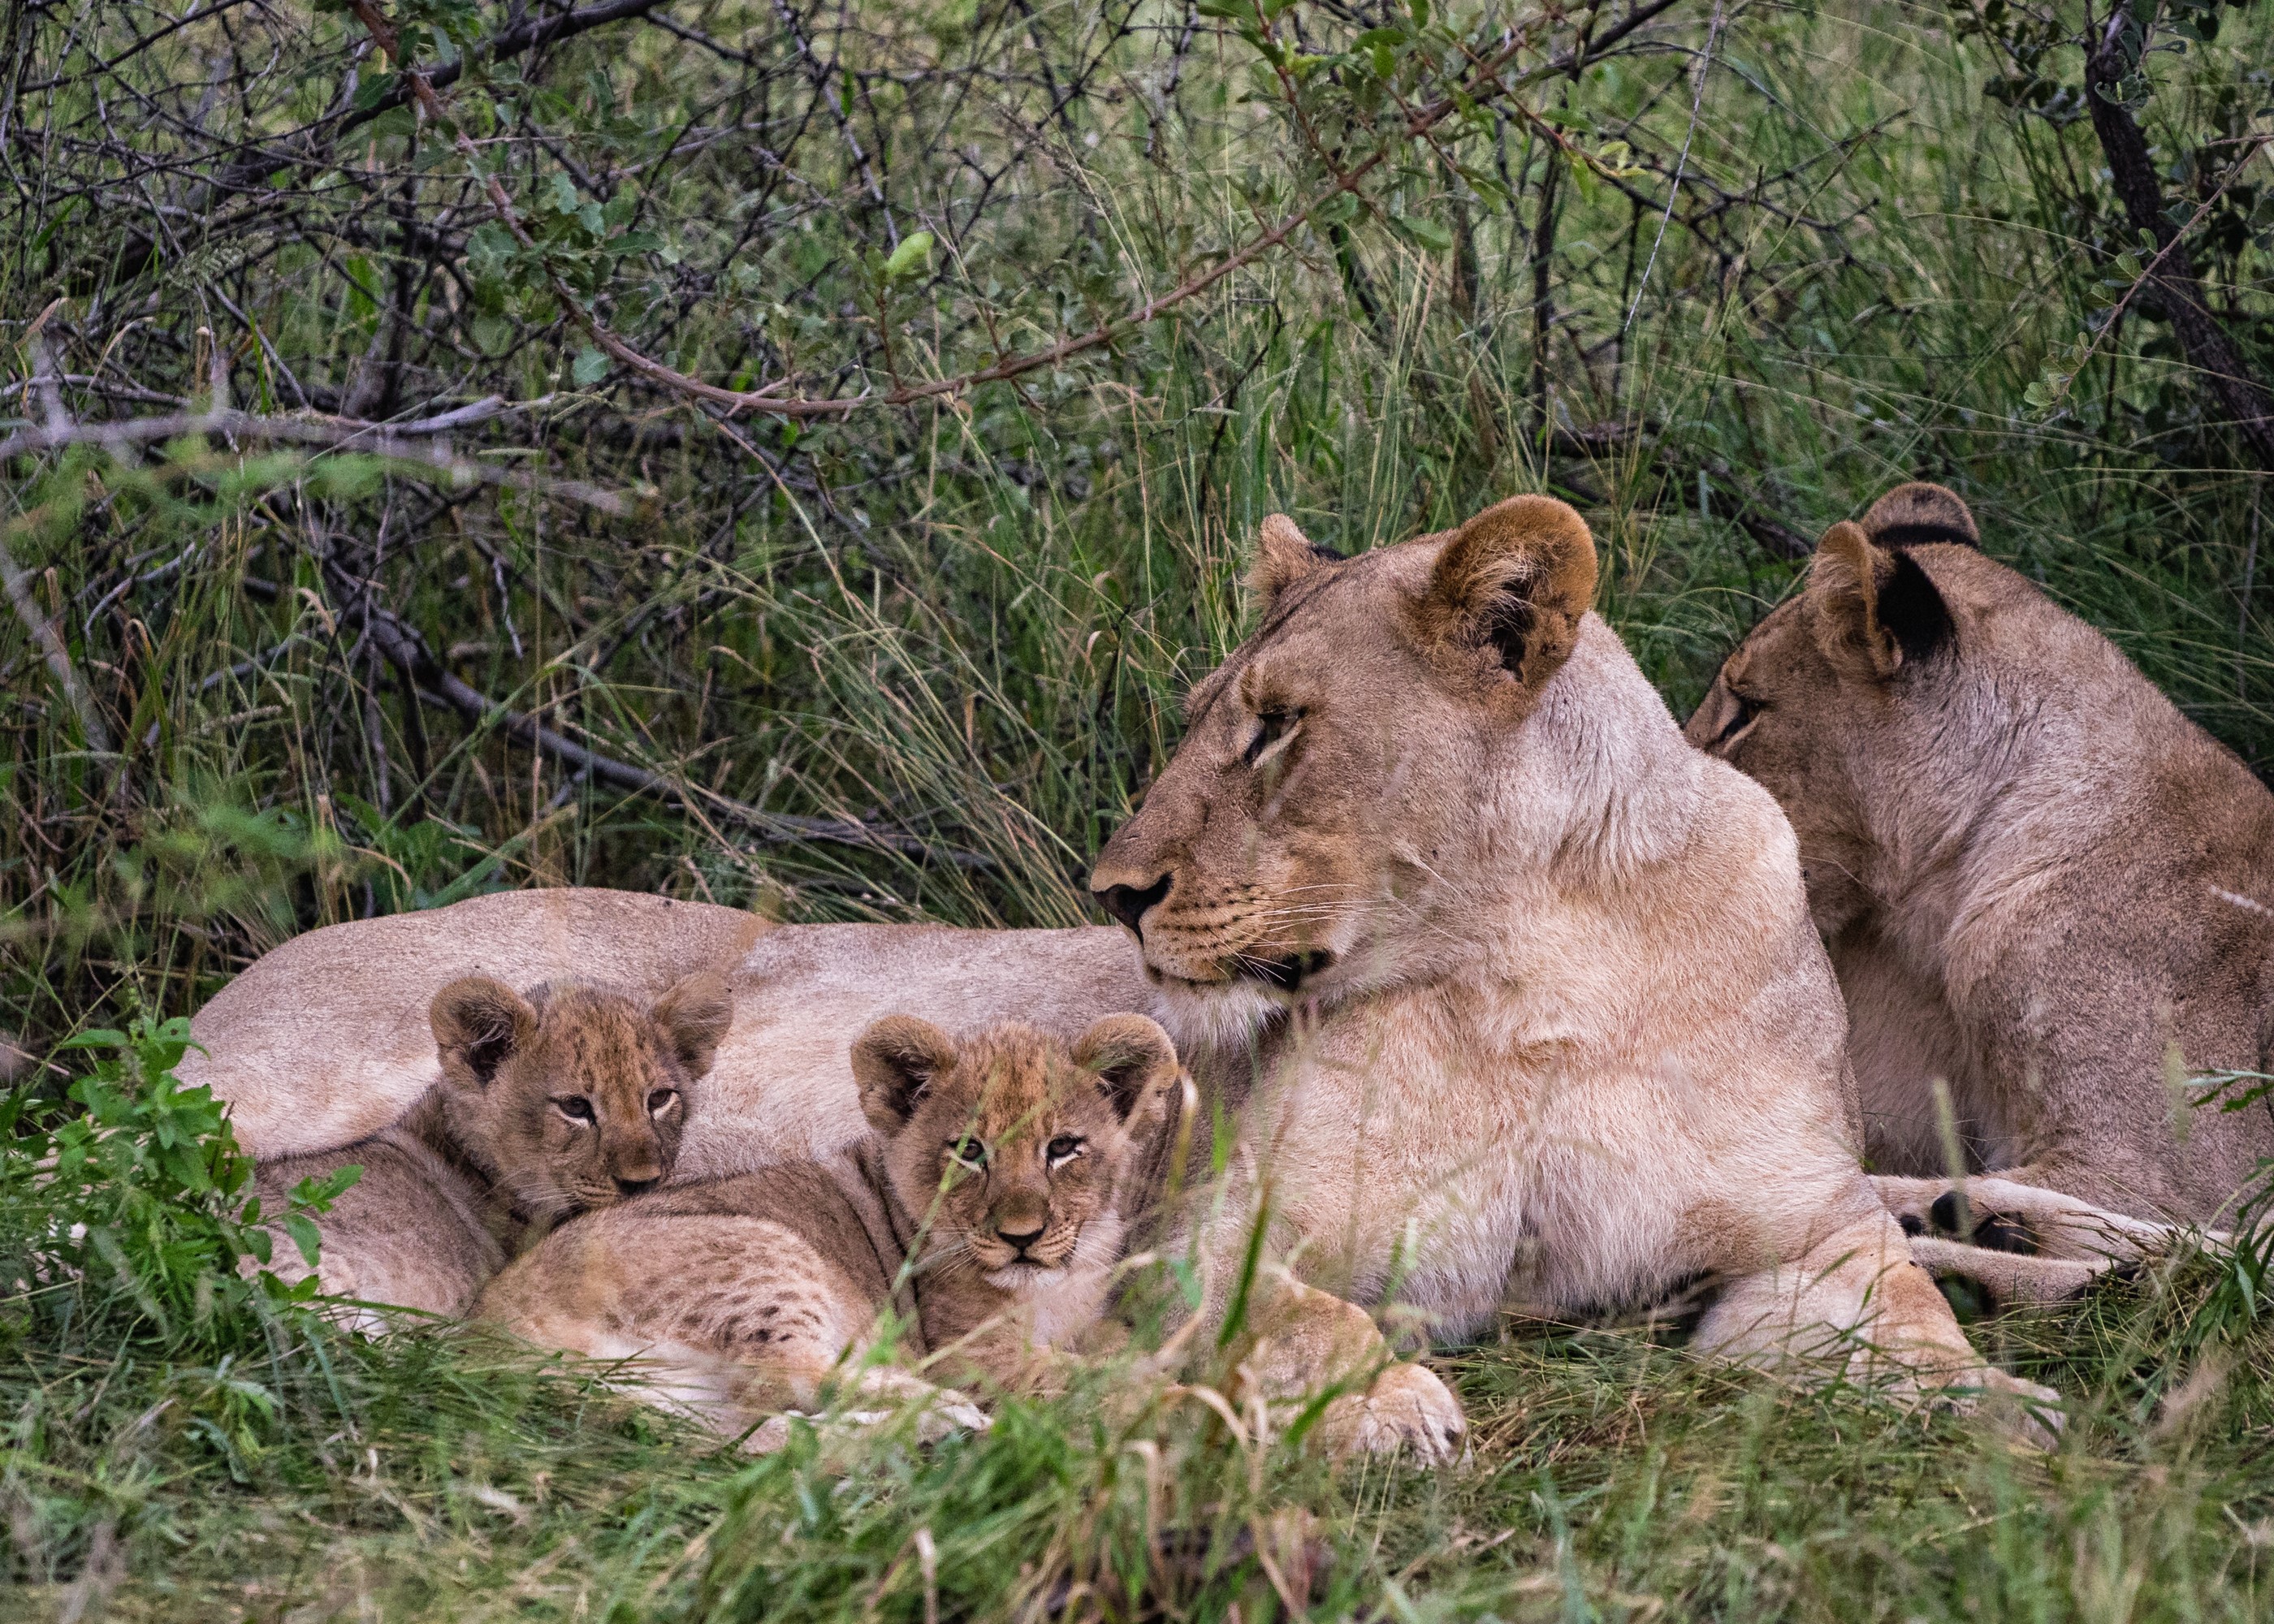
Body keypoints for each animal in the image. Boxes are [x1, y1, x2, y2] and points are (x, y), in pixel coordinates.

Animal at [474, 1014, 1182, 1442]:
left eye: (1063, 1148)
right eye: (969, 1151)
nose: (1021, 1237)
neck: (1060, 1280)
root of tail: (492, 1329)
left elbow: (1109, 1344)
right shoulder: (971, 1354)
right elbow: (1079, 1377)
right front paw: (1179, 1398)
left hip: (688, 1404)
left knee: (767, 1438)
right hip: (766, 1255)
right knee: (807, 1375)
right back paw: (945, 1415)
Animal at [1087, 494, 2059, 1442]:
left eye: (1278, 725)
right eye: (1198, 719)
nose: (1115, 895)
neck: (1537, 968)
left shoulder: (1814, 1229)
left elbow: (1911, 1310)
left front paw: (1988, 1399)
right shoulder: (1203, 1234)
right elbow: (1291, 1315)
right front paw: (1380, 1404)